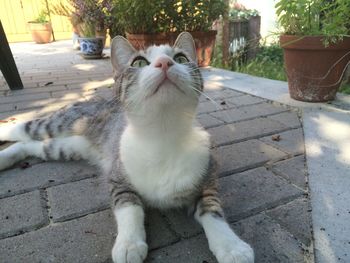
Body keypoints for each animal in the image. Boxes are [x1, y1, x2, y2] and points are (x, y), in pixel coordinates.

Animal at [0, 33, 253, 263]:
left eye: (180, 58)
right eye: (138, 62)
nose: (165, 62)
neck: (162, 136)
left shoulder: (207, 179)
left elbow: (213, 211)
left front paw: (232, 247)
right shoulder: (118, 178)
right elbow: (129, 207)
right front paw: (129, 244)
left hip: (68, 147)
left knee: (33, 145)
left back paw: (6, 158)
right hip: (60, 124)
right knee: (23, 128)